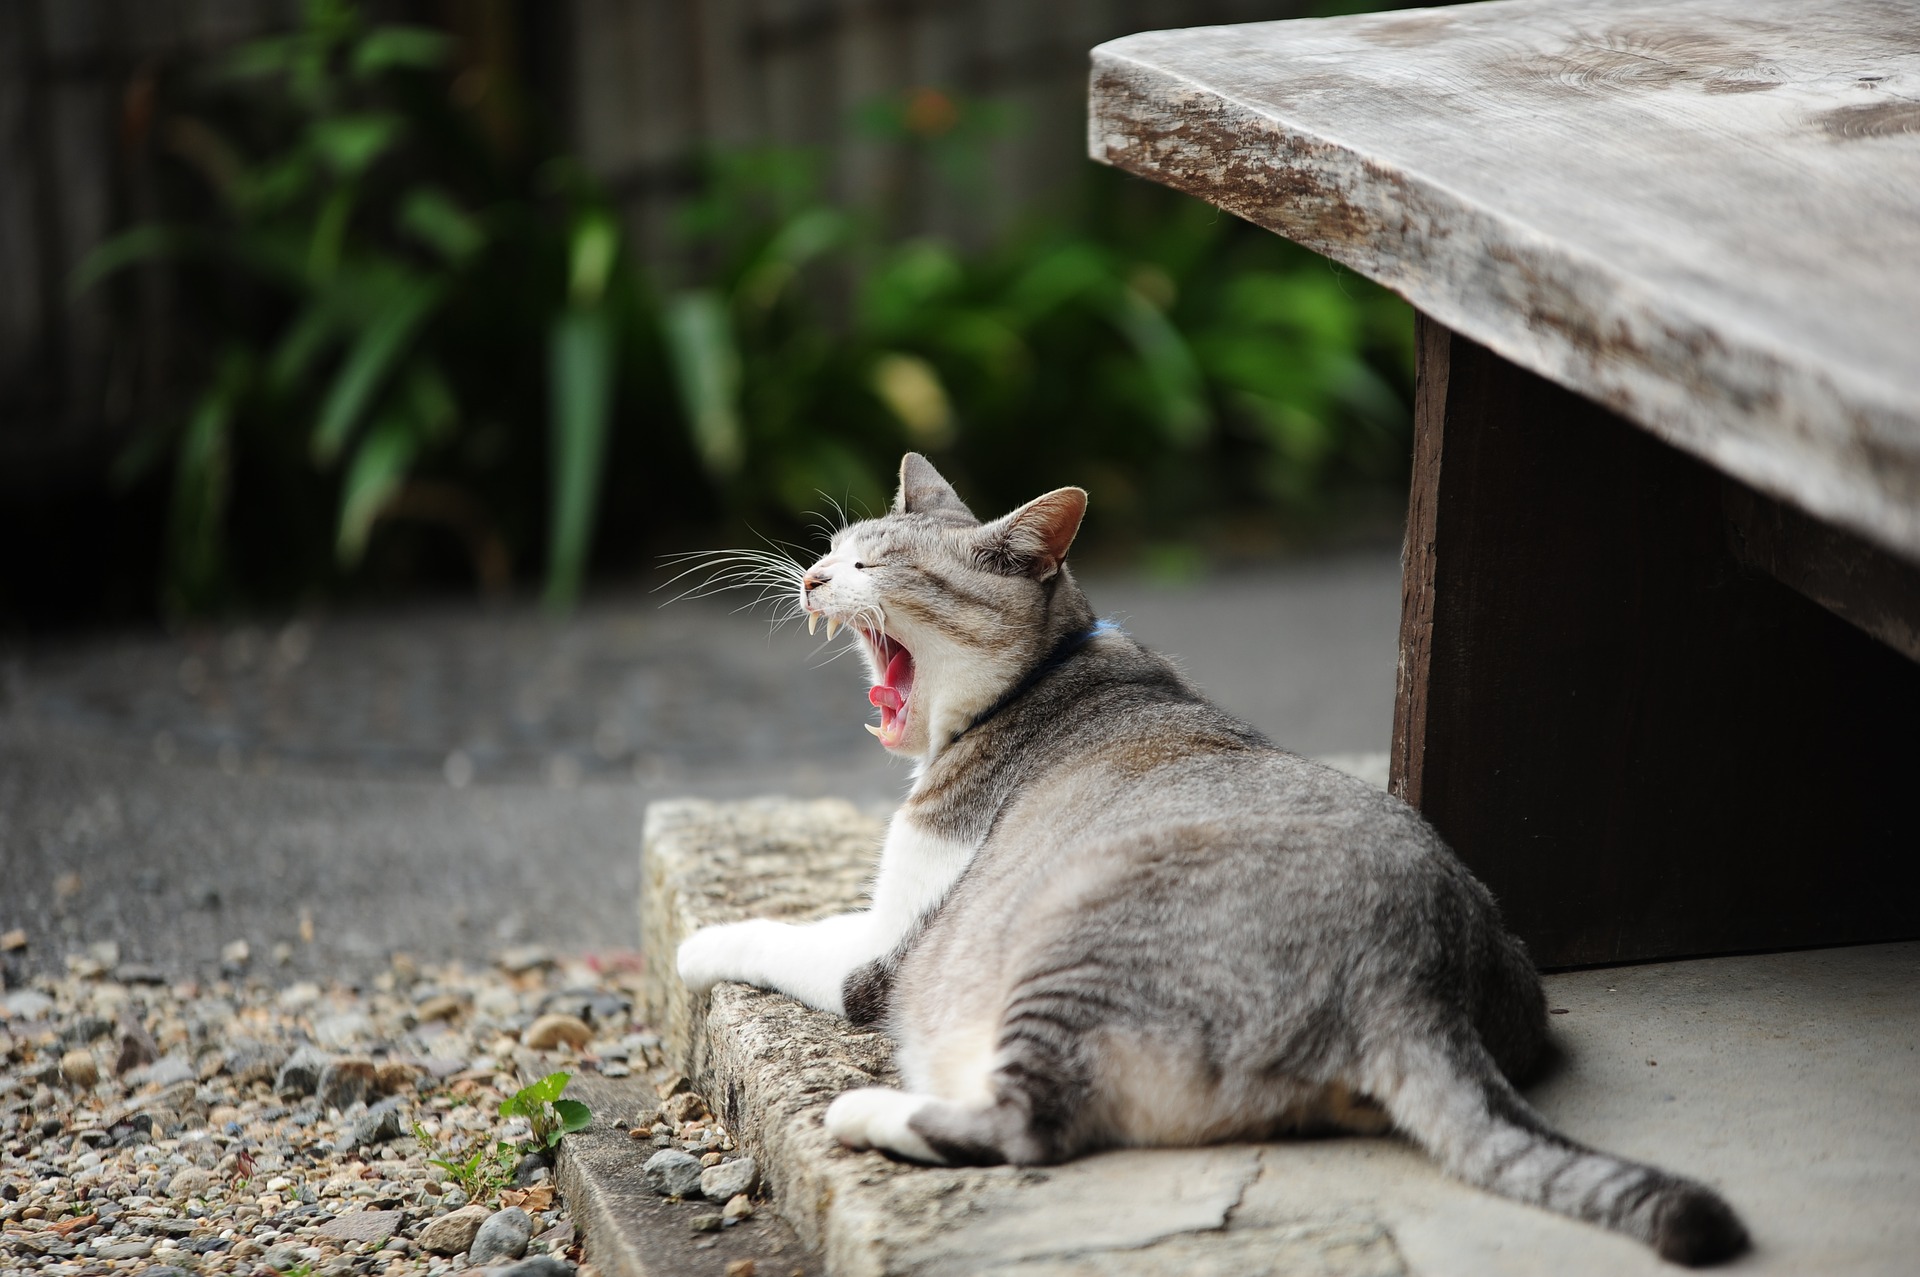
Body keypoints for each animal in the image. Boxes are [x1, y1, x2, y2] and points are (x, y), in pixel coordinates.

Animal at [679, 453, 1758, 1259]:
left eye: (879, 566)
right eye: (833, 550)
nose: (811, 578)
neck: (1036, 679)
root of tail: (1414, 972)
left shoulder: (885, 951)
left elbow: (780, 934)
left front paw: (698, 945)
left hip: (1079, 931)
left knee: (1031, 1123)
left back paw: (871, 1109)